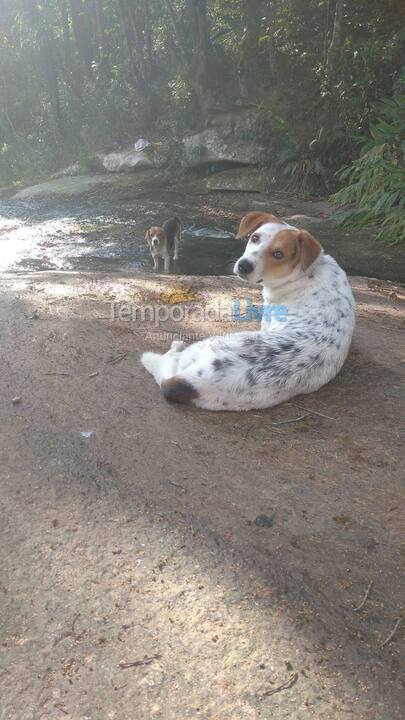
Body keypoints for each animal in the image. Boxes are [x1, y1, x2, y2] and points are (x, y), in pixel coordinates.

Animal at [140, 211, 356, 410]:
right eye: (255, 237)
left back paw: (175, 347)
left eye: (279, 254)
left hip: (206, 344)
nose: (244, 266)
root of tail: (192, 382)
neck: (305, 272)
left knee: (167, 363)